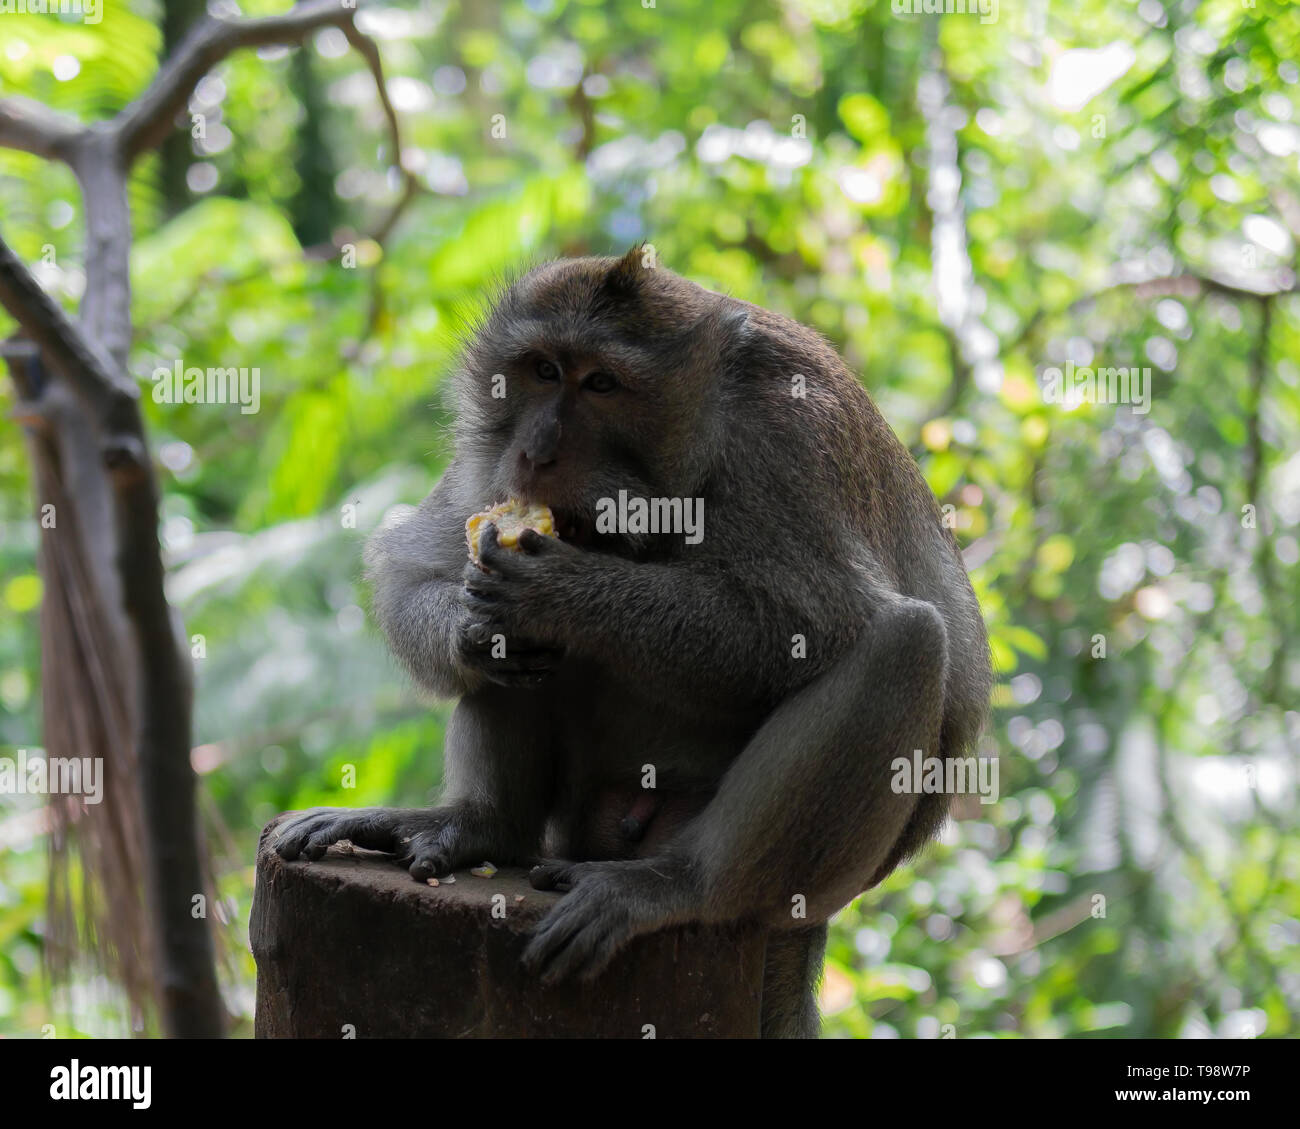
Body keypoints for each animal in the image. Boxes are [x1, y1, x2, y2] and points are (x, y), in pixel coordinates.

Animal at [274, 247, 992, 1038]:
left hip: (796, 875)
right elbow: (413, 568)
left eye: (602, 384)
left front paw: (559, 592)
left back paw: (681, 884)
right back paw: (480, 826)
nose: (536, 451)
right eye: (542, 370)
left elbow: (820, 624)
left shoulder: (786, 438)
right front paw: (476, 627)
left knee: (905, 643)